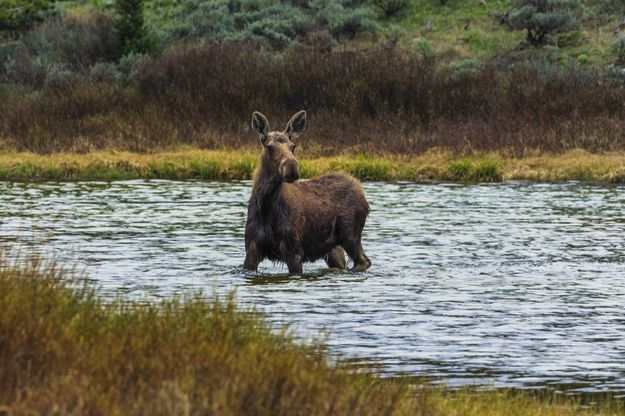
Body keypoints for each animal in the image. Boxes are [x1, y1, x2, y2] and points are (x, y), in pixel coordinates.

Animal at [243, 109, 370, 276]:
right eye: (269, 147)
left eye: (293, 146)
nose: (292, 167)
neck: (265, 207)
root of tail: (361, 191)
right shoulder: (251, 250)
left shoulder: (294, 251)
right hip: (334, 248)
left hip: (350, 234)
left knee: (363, 262)